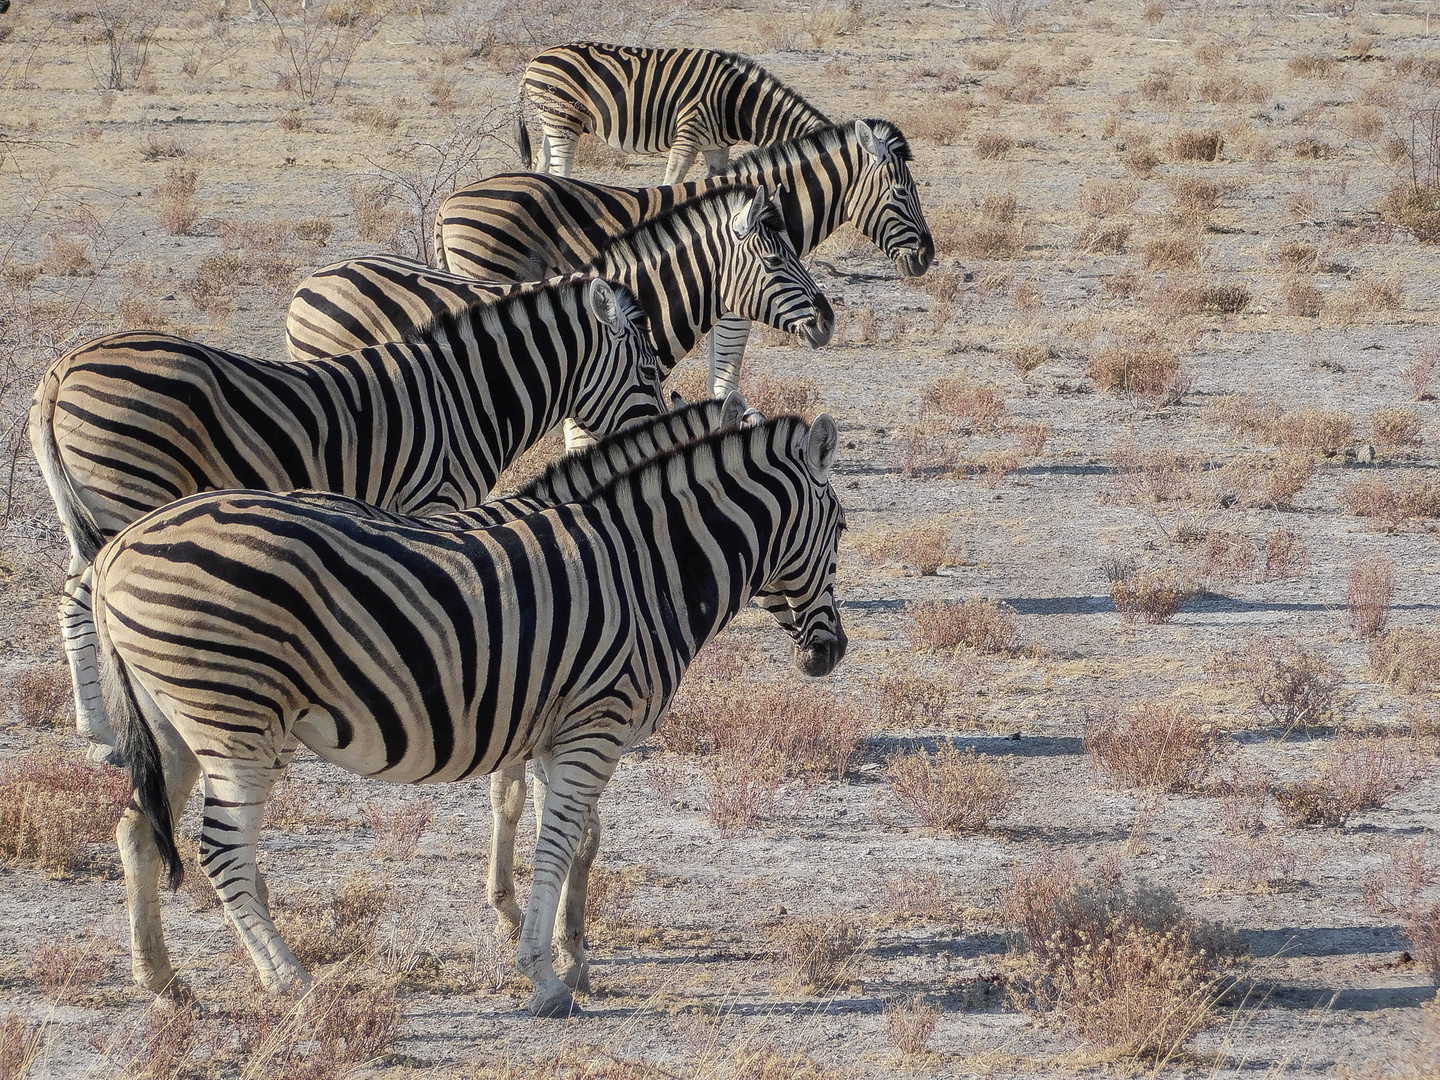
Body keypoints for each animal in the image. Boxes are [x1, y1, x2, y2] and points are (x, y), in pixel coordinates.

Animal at [30, 279, 662, 771]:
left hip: (89, 510)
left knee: (71, 600)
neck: (468, 397)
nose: (663, 430)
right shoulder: (435, 501)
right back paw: (113, 730)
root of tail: (62, 369)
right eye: (651, 370)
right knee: (91, 598)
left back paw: (97, 730)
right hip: (127, 494)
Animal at [95, 408, 846, 1019]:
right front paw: (545, 975)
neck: (643, 571)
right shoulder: (594, 726)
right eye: (840, 528)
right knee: (222, 852)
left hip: (176, 726)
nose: (831, 655)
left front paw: (568, 950)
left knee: (137, 831)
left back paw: (163, 983)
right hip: (235, 723)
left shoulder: (549, 729)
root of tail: (115, 549)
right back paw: (295, 985)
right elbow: (557, 843)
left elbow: (568, 836)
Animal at [518, 41, 835, 182]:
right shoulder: (688, 134)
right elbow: (672, 180)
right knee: (560, 167)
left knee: (543, 161)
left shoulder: (716, 146)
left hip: (552, 121)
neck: (735, 102)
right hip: (562, 116)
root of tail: (535, 58)